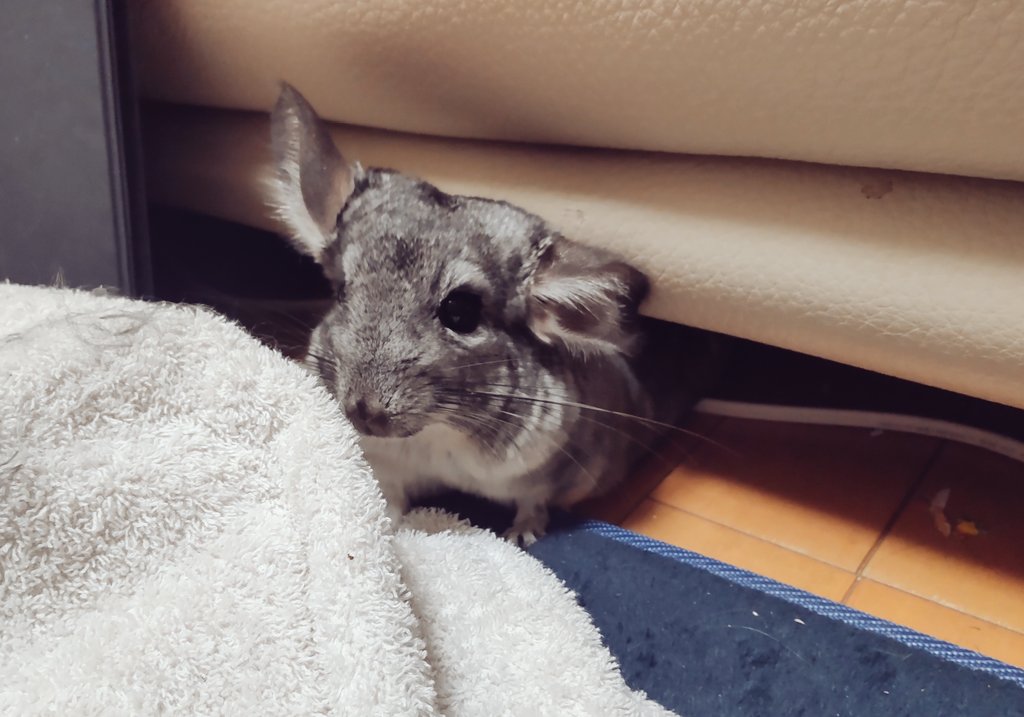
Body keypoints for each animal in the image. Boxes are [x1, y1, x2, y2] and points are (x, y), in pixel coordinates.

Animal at [266, 83, 725, 545]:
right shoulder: (389, 468)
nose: (364, 411)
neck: (436, 437)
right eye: (341, 290)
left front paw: (520, 537)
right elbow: (391, 500)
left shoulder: (547, 474)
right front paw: (388, 529)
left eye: (460, 311)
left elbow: (533, 503)